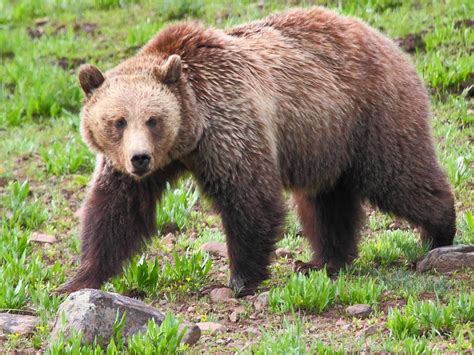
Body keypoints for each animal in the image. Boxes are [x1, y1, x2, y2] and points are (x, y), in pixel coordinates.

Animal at [57, 9, 458, 298]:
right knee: (327, 201)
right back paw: (322, 261)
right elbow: (114, 211)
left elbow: (248, 197)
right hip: (325, 139)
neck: (187, 137)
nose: (140, 158)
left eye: (153, 119)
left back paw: (438, 233)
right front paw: (77, 279)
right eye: (118, 121)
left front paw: (240, 279)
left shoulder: (228, 124)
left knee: (398, 176)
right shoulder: (131, 167)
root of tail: (387, 41)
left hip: (370, 116)